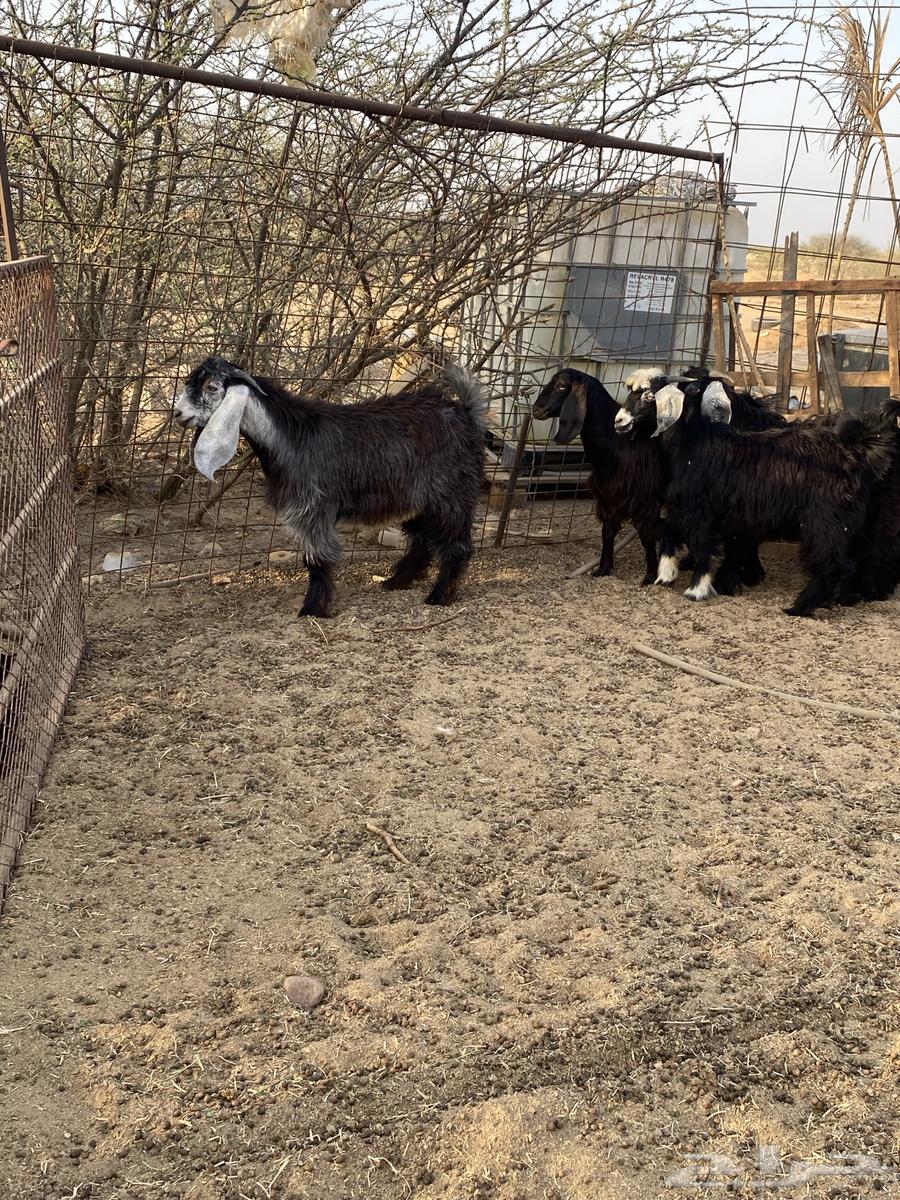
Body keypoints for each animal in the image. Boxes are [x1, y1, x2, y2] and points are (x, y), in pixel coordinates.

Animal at [173, 357, 488, 617]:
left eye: (212, 386)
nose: (177, 414)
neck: (290, 438)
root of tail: (466, 414)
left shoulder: (313, 509)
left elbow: (317, 560)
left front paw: (313, 609)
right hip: (418, 498)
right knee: (422, 540)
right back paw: (397, 581)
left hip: (450, 494)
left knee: (455, 545)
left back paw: (439, 596)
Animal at [532, 368, 666, 584]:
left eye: (561, 386)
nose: (536, 410)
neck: (620, 442)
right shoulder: (607, 496)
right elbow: (607, 532)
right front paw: (603, 569)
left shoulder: (645, 500)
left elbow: (647, 535)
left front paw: (650, 576)